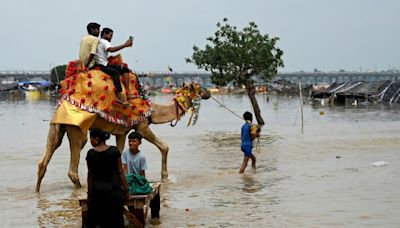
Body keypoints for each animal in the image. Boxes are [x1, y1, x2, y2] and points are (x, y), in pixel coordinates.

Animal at [35, 59, 209, 191]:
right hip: (76, 130)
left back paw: (37, 191)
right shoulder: (142, 125)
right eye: (197, 88)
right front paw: (165, 178)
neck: (152, 109)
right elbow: (164, 146)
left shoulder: (122, 132)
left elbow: (119, 154)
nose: (208, 92)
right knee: (73, 167)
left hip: (57, 128)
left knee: (45, 159)